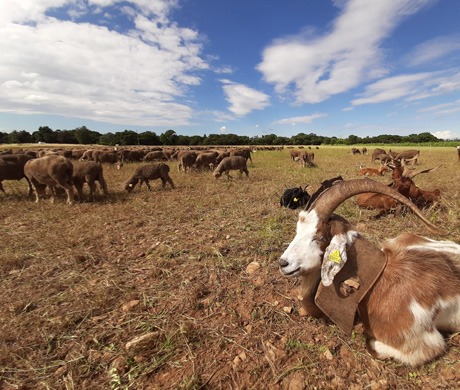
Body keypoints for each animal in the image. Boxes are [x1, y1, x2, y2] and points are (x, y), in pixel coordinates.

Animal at [280, 178, 460, 368]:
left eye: (319, 237)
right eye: (298, 231)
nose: (283, 263)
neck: (377, 281)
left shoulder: (423, 344)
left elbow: (373, 344)